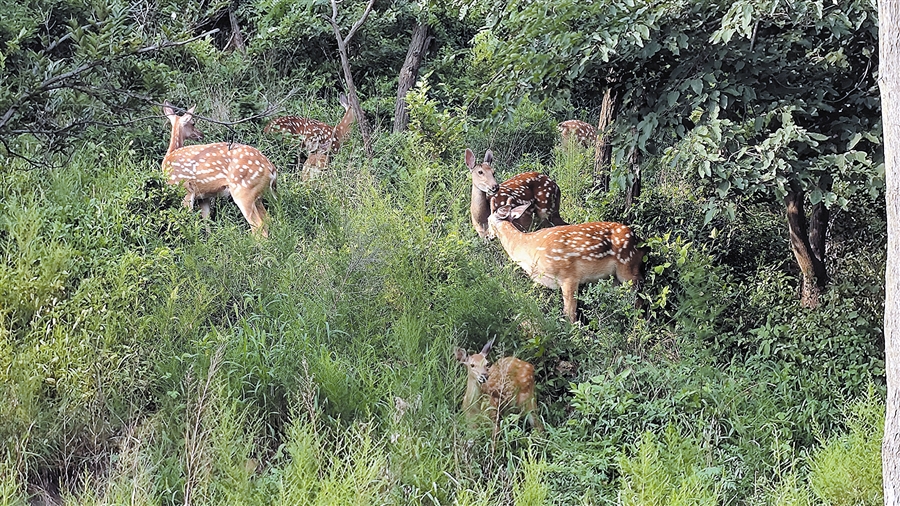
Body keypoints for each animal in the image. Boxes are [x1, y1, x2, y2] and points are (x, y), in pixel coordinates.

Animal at [160, 103, 276, 239]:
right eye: (193, 123)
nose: (201, 135)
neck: (169, 156)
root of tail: (271, 168)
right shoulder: (203, 196)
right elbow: (206, 219)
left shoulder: (185, 190)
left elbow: (186, 219)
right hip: (258, 195)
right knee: (267, 219)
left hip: (243, 190)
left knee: (258, 225)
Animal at [492, 201, 648, 322]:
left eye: (488, 220)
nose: (488, 235)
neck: (527, 247)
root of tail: (641, 242)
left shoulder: (569, 276)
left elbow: (569, 315)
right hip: (615, 278)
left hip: (627, 266)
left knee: (638, 295)